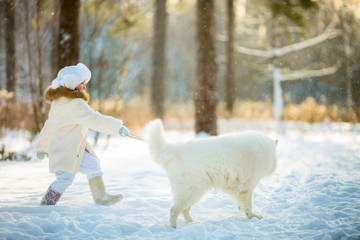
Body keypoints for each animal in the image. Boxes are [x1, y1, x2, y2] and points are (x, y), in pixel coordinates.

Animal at [144, 119, 278, 228]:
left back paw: (192, 222)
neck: (264, 150)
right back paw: (174, 227)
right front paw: (253, 217)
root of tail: (176, 149)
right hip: (192, 191)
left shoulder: (238, 187)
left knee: (184, 210)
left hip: (196, 192)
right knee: (174, 210)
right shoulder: (247, 189)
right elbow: (248, 206)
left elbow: (243, 205)